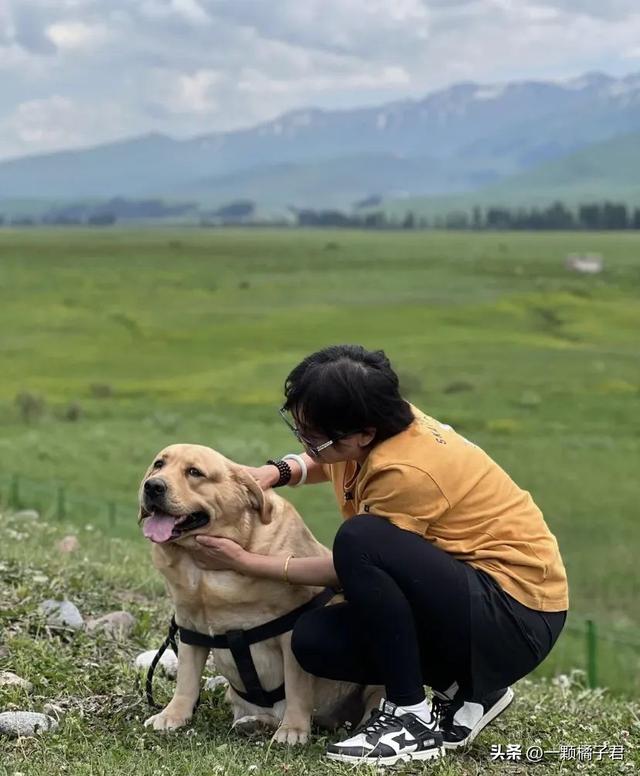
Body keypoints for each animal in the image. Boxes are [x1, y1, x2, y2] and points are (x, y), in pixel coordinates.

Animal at [138, 446, 378, 744]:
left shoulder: (290, 633)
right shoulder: (190, 630)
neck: (204, 575)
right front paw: (172, 715)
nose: (152, 486)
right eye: (159, 464)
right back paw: (254, 723)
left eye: (194, 472)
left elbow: (297, 689)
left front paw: (293, 729)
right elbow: (186, 680)